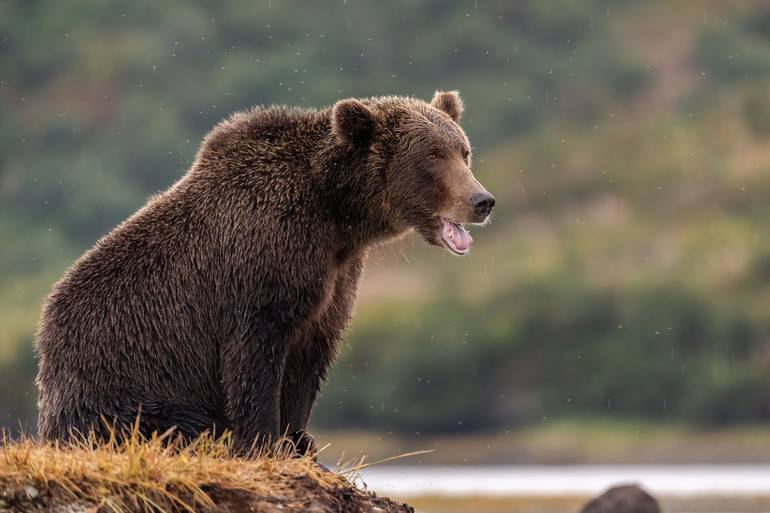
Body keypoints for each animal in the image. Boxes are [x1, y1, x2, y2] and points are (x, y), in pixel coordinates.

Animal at [34, 91, 492, 452]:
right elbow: (253, 360)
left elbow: (311, 354)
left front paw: (301, 439)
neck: (335, 217)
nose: (482, 200)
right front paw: (264, 440)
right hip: (121, 380)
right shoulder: (260, 267)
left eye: (463, 151)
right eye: (433, 156)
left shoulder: (334, 277)